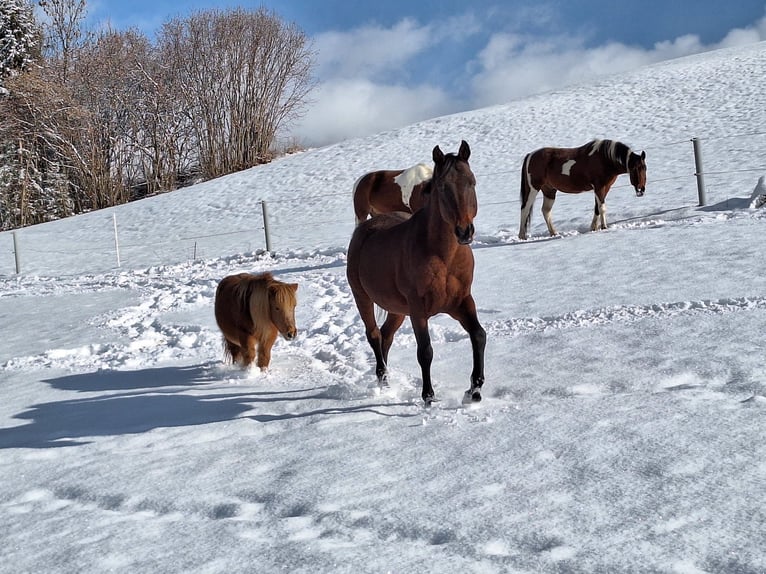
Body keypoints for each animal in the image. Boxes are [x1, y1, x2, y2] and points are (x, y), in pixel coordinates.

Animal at [346, 140, 486, 406]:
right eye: (442, 187)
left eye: (472, 182)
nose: (465, 231)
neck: (443, 256)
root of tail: (365, 228)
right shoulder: (418, 310)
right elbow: (425, 351)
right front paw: (428, 396)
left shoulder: (462, 302)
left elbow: (478, 336)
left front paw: (474, 390)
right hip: (363, 298)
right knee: (374, 335)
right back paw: (382, 380)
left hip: (397, 310)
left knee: (386, 336)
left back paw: (386, 378)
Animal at [519, 139, 647, 239]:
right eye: (635, 168)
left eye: (644, 168)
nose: (641, 189)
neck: (605, 159)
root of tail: (530, 155)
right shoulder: (599, 188)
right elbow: (602, 208)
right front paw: (604, 227)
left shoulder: (604, 188)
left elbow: (597, 208)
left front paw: (593, 228)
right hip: (533, 188)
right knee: (525, 209)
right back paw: (522, 236)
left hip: (549, 191)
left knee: (546, 211)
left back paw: (554, 233)